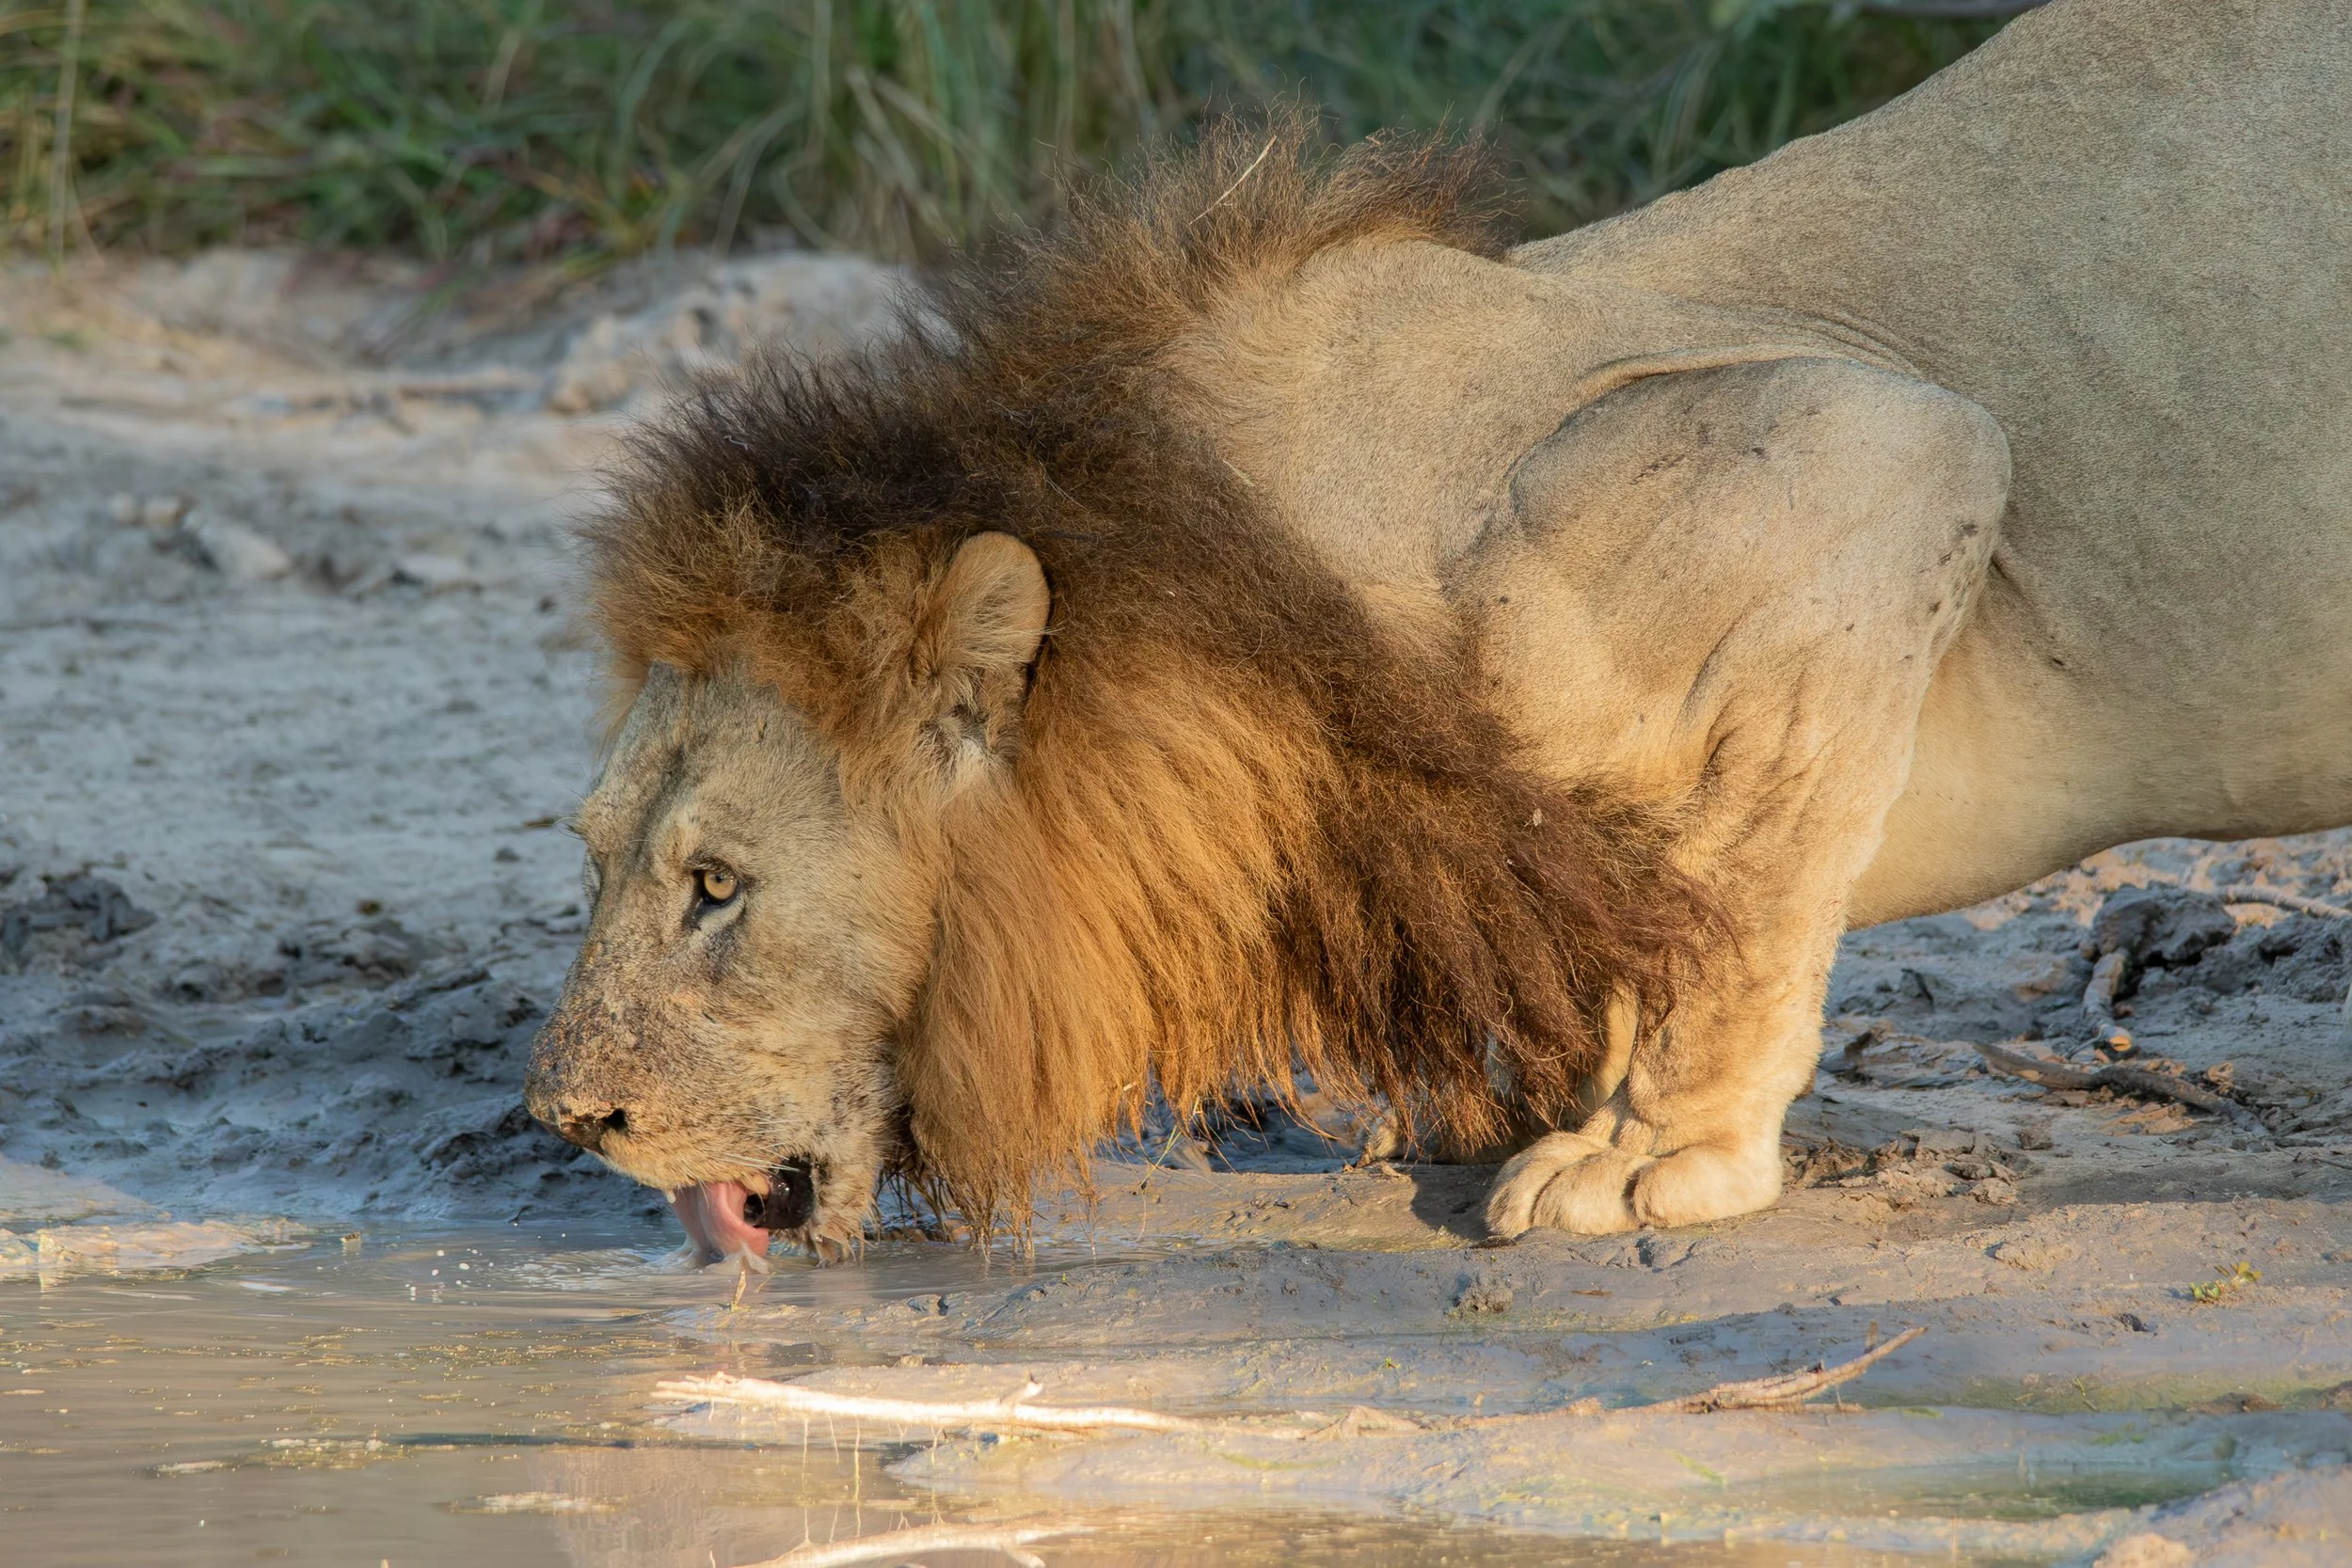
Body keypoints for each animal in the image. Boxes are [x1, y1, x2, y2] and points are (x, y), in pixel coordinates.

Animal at [525, 0, 2352, 1262]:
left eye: (718, 886)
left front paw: (1646, 1153)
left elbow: (1740, 889)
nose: (566, 1117)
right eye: (593, 854)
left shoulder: (1885, 449)